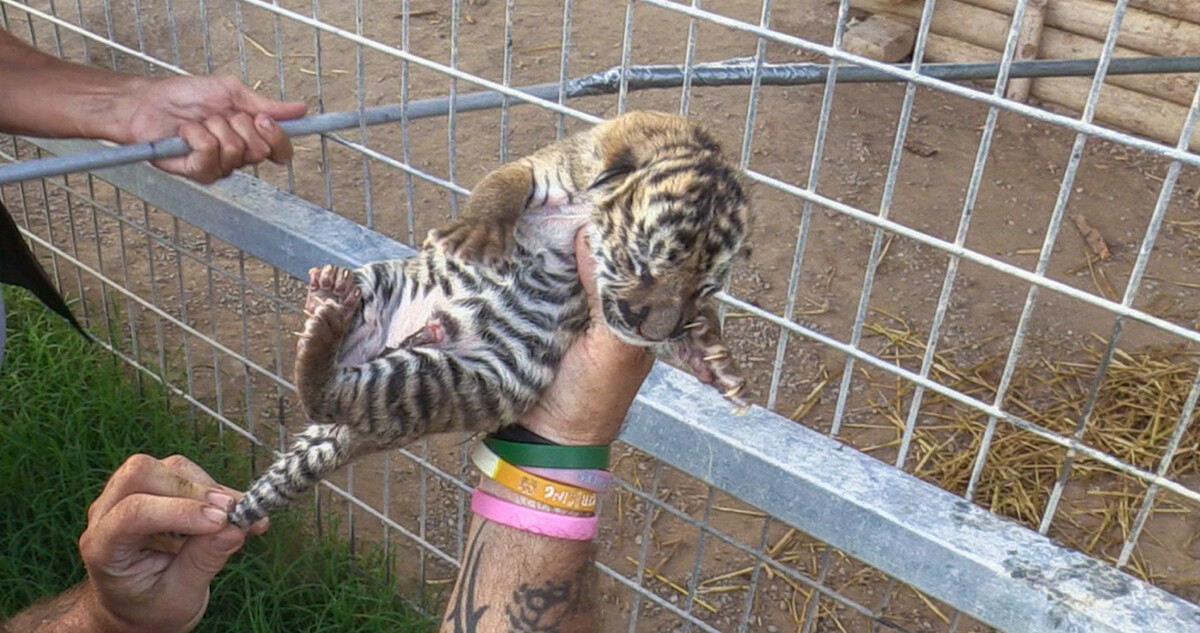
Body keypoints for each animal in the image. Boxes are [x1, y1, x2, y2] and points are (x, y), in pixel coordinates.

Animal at [229, 111, 751, 527]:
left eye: (703, 288)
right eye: (641, 264)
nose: (653, 329)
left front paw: (714, 359)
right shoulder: (545, 167)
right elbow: (502, 186)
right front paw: (475, 233)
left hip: (449, 379)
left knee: (330, 395)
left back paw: (326, 318)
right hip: (384, 291)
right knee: (322, 390)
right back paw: (329, 301)